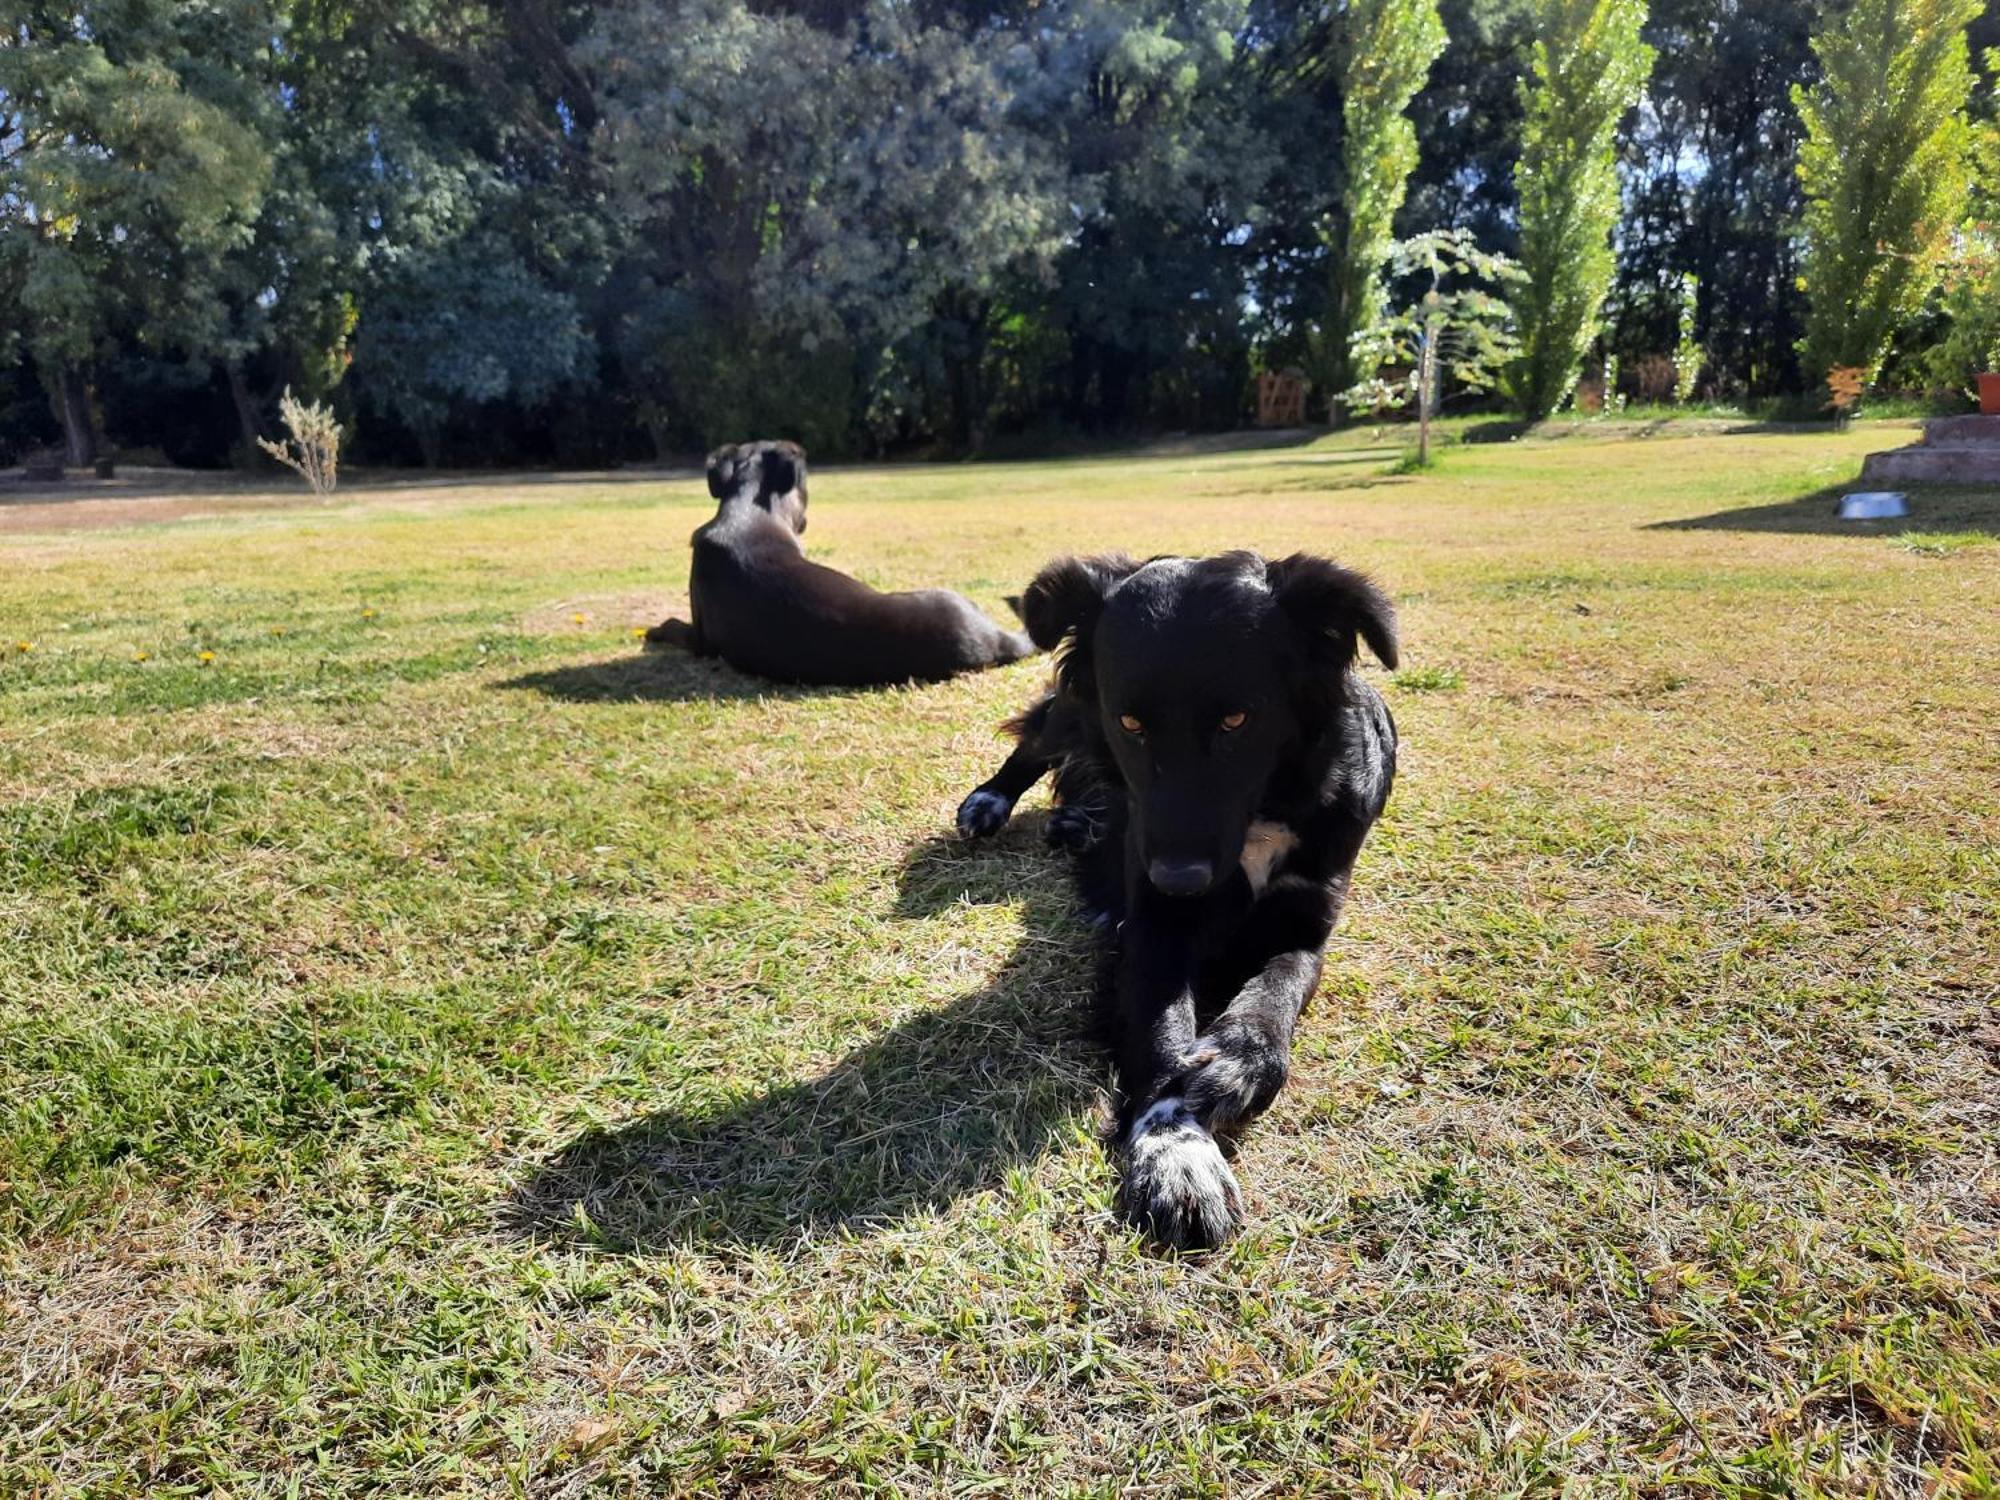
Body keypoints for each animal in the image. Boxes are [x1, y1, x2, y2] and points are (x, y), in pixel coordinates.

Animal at [956, 552, 1400, 1256]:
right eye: (1132, 724)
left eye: (1238, 720)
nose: (1180, 878)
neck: (1264, 809)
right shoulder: (1154, 929)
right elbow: (1164, 1040)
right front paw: (1177, 1155)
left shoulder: (1305, 925)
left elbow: (1275, 996)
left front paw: (1238, 1065)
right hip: (1073, 710)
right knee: (1035, 744)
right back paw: (989, 802)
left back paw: (1076, 821)